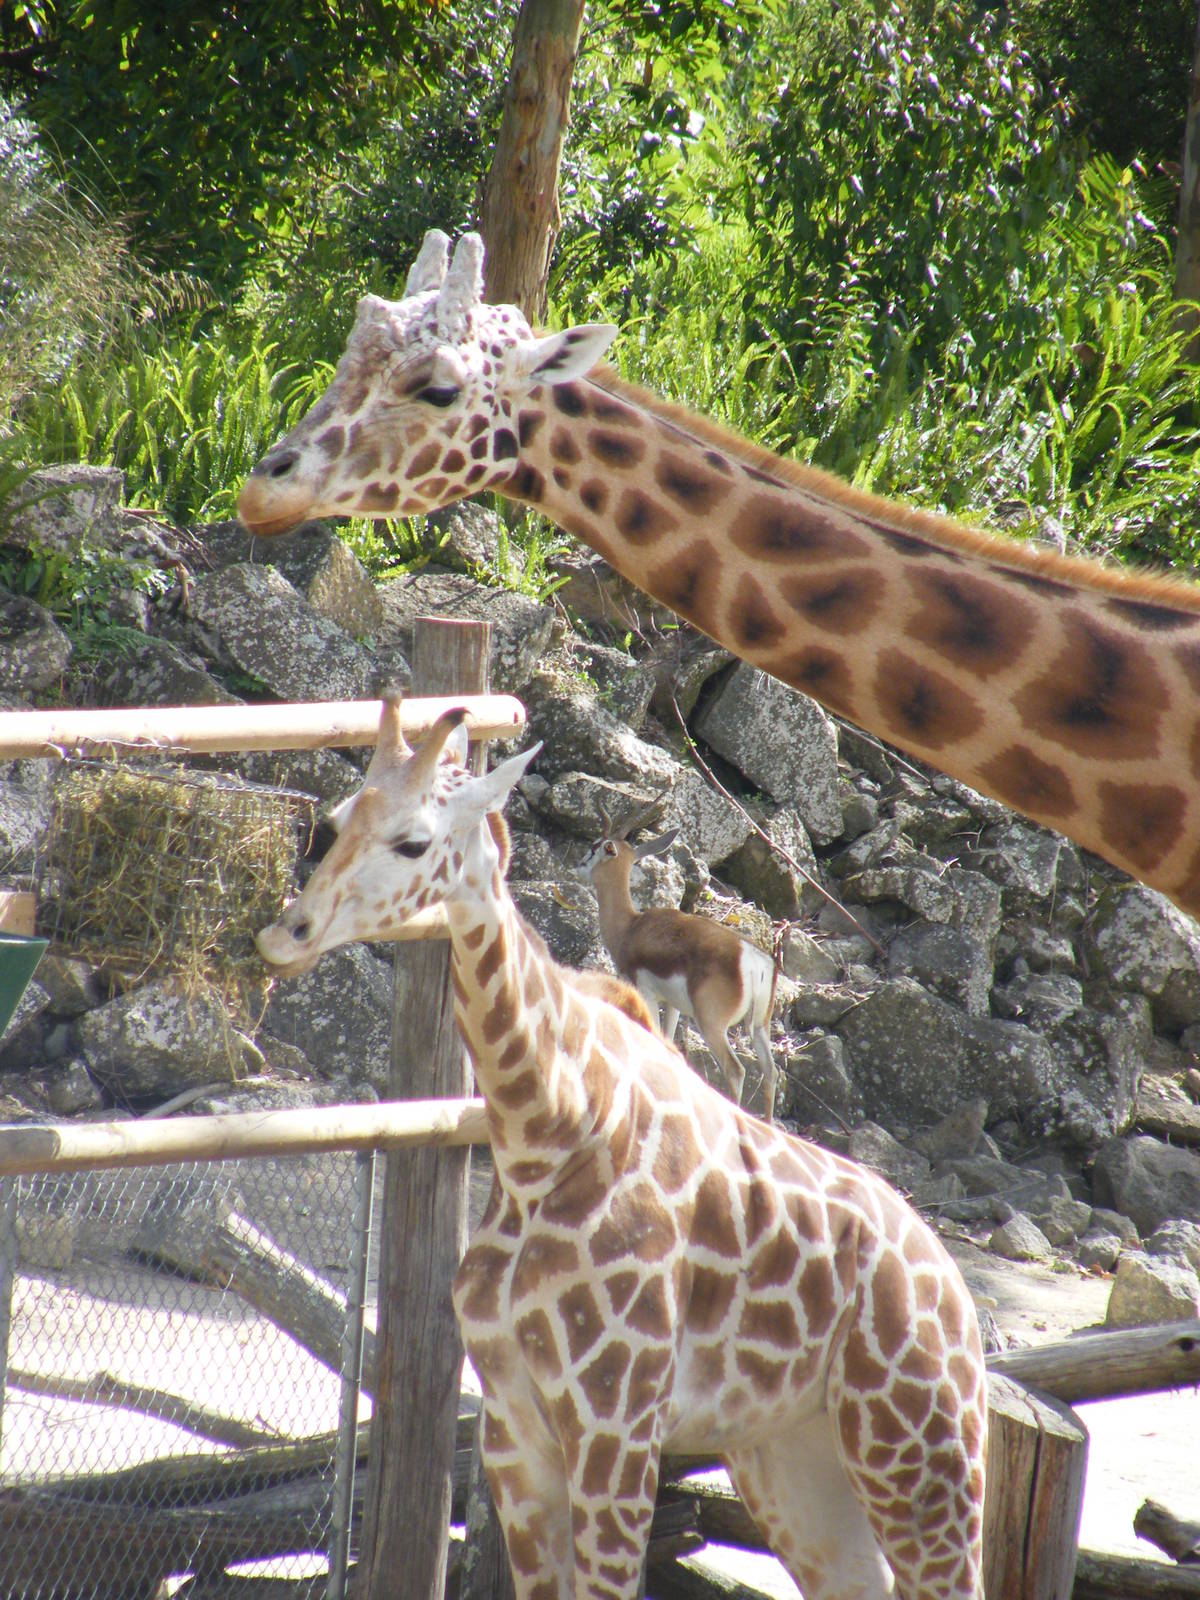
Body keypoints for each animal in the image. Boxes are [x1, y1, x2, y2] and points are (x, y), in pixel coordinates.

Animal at [256, 697, 987, 1600]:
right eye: (336, 819)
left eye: (415, 841)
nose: (284, 936)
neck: (547, 1135)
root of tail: (956, 1290)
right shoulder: (512, 1426)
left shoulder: (617, 1426)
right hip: (793, 1453)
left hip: (921, 1450)